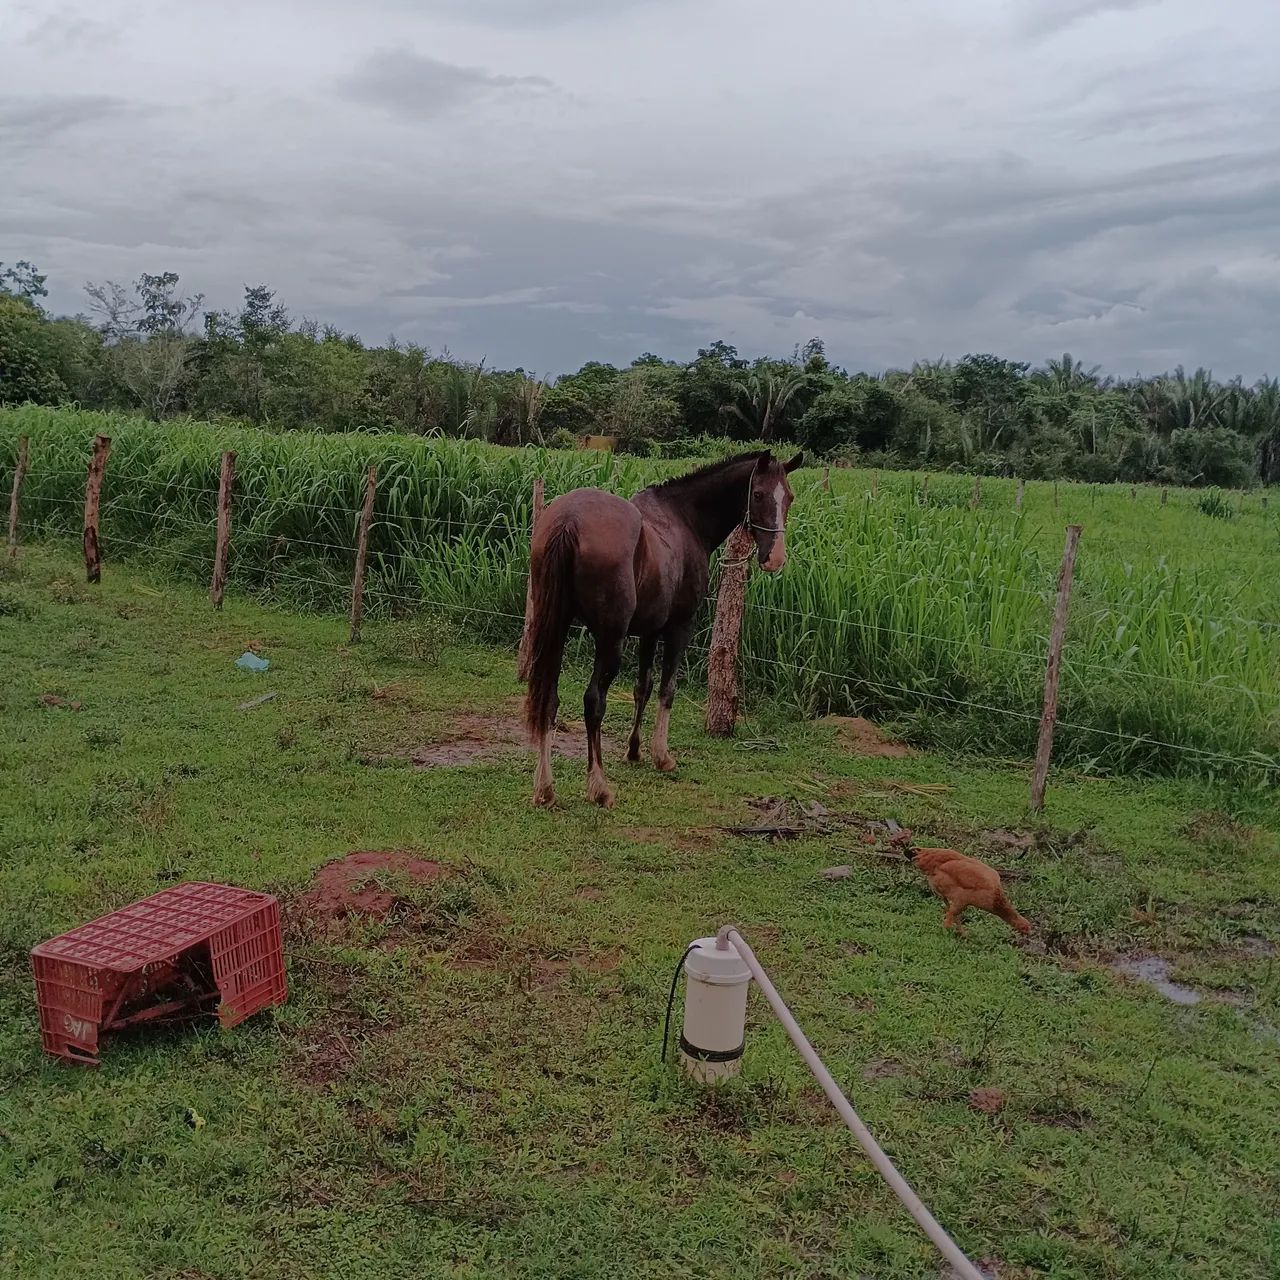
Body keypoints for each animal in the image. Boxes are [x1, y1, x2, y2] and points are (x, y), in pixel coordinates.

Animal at [521, 449, 803, 808]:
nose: (774, 558)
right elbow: (667, 689)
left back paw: (544, 788)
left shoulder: (649, 631)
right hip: (610, 641)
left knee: (549, 699)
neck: (685, 518)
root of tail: (568, 519)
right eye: (758, 494)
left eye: (789, 496)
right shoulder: (679, 628)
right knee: (593, 702)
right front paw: (661, 755)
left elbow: (643, 686)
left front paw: (634, 750)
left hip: (555, 629)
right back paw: (599, 786)